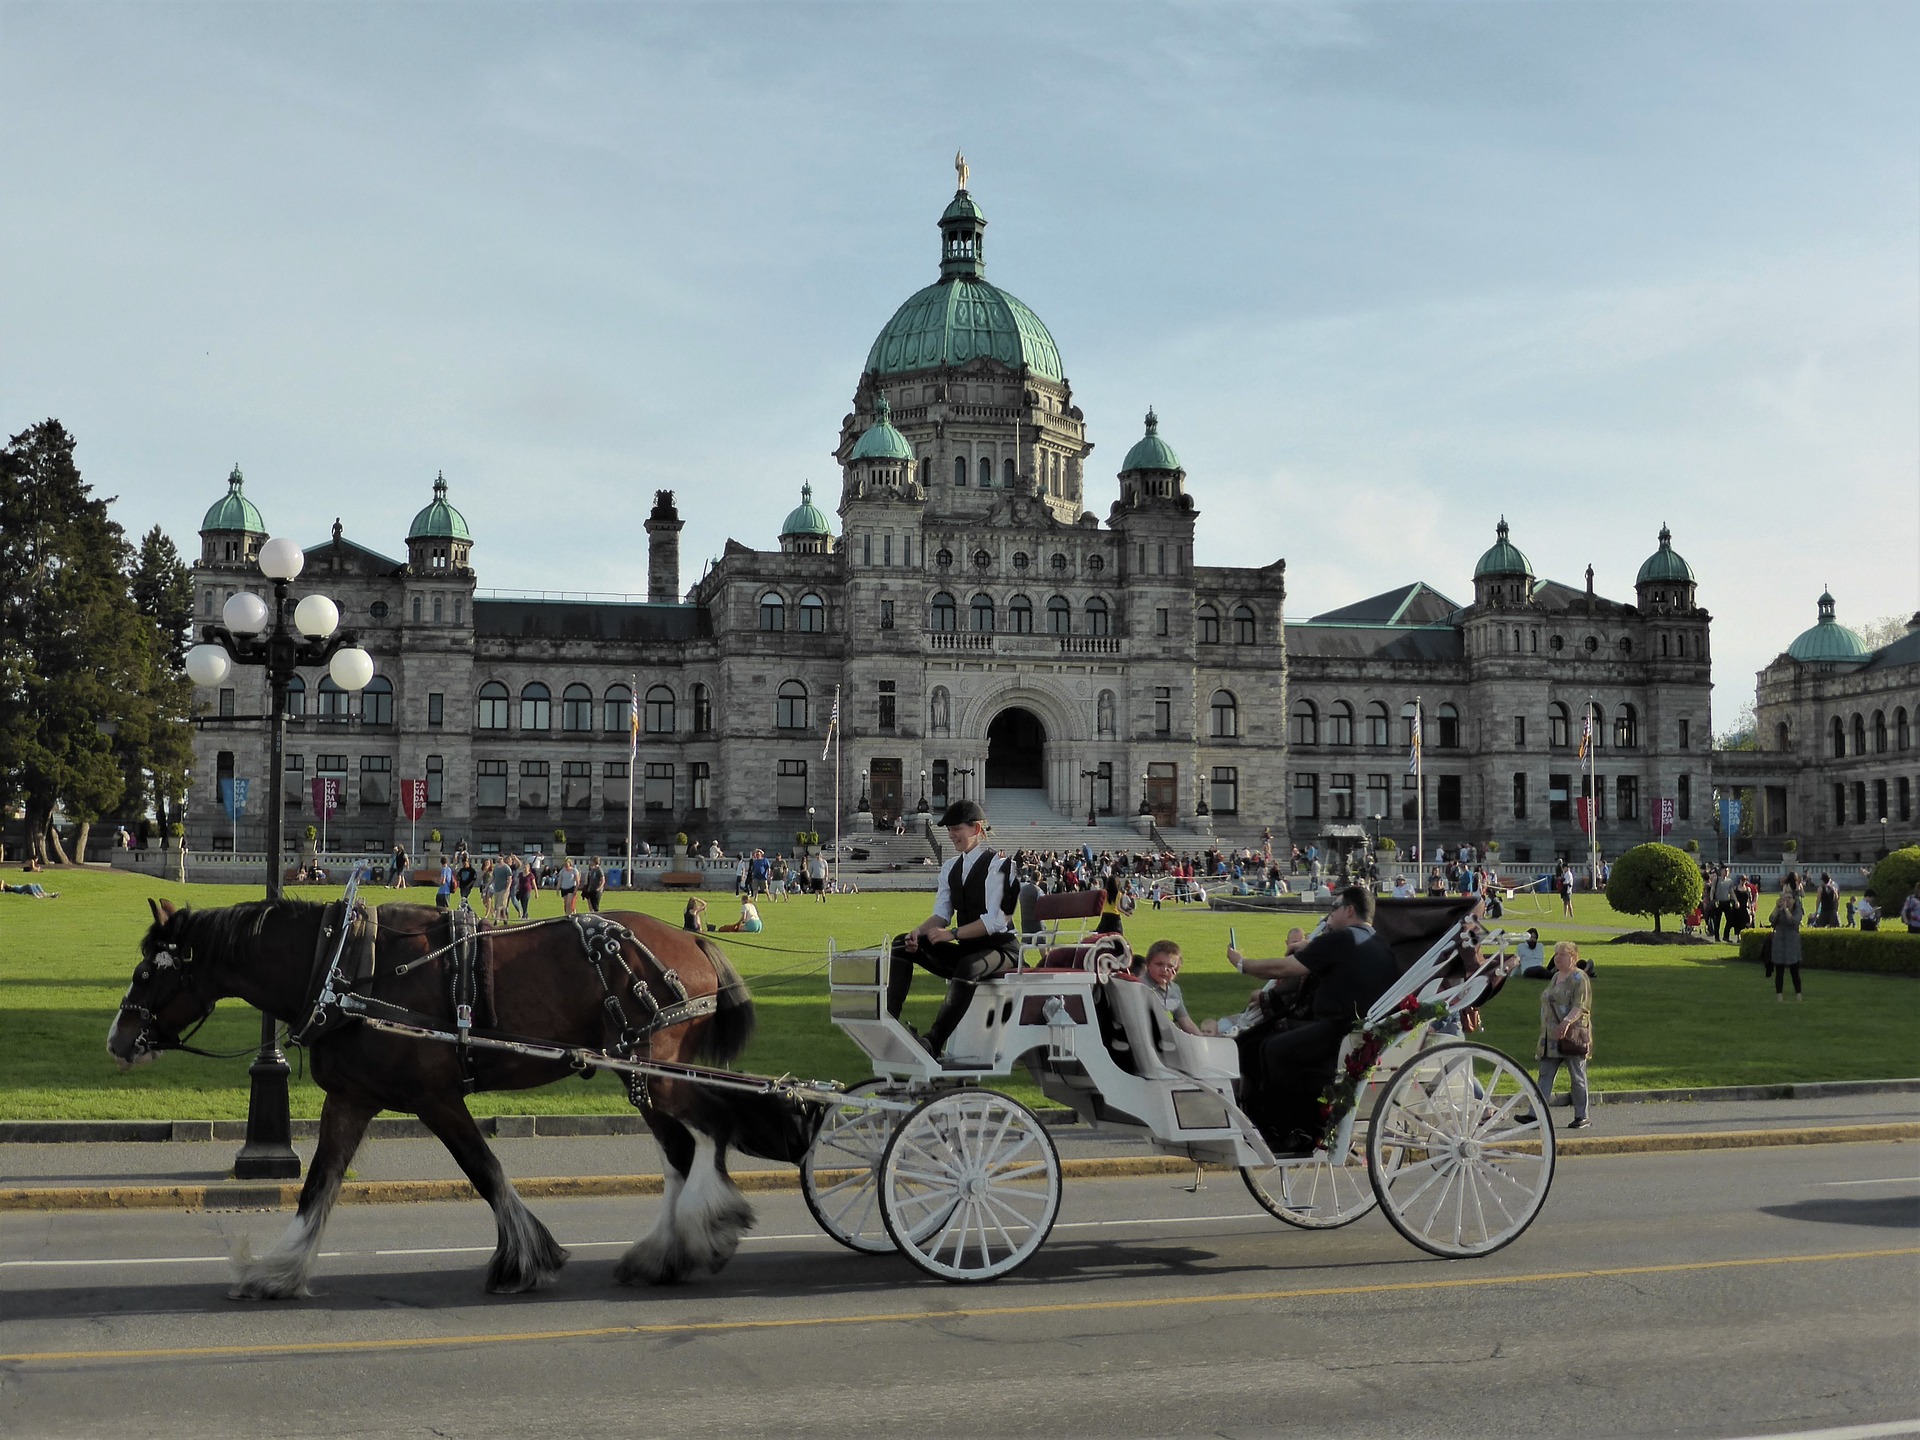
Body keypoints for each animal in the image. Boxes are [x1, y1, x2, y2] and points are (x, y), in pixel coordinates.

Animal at [107, 902, 810, 1297]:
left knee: (709, 1133)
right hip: (641, 1075)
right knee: (685, 1149)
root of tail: (693, 940)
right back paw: (667, 1252)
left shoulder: (436, 1097)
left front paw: (524, 1258)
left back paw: (707, 1228)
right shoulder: (352, 1099)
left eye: (146, 973)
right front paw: (279, 1271)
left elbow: (485, 1170)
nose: (116, 1039)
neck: (346, 970)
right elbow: (319, 1186)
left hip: (655, 1072)